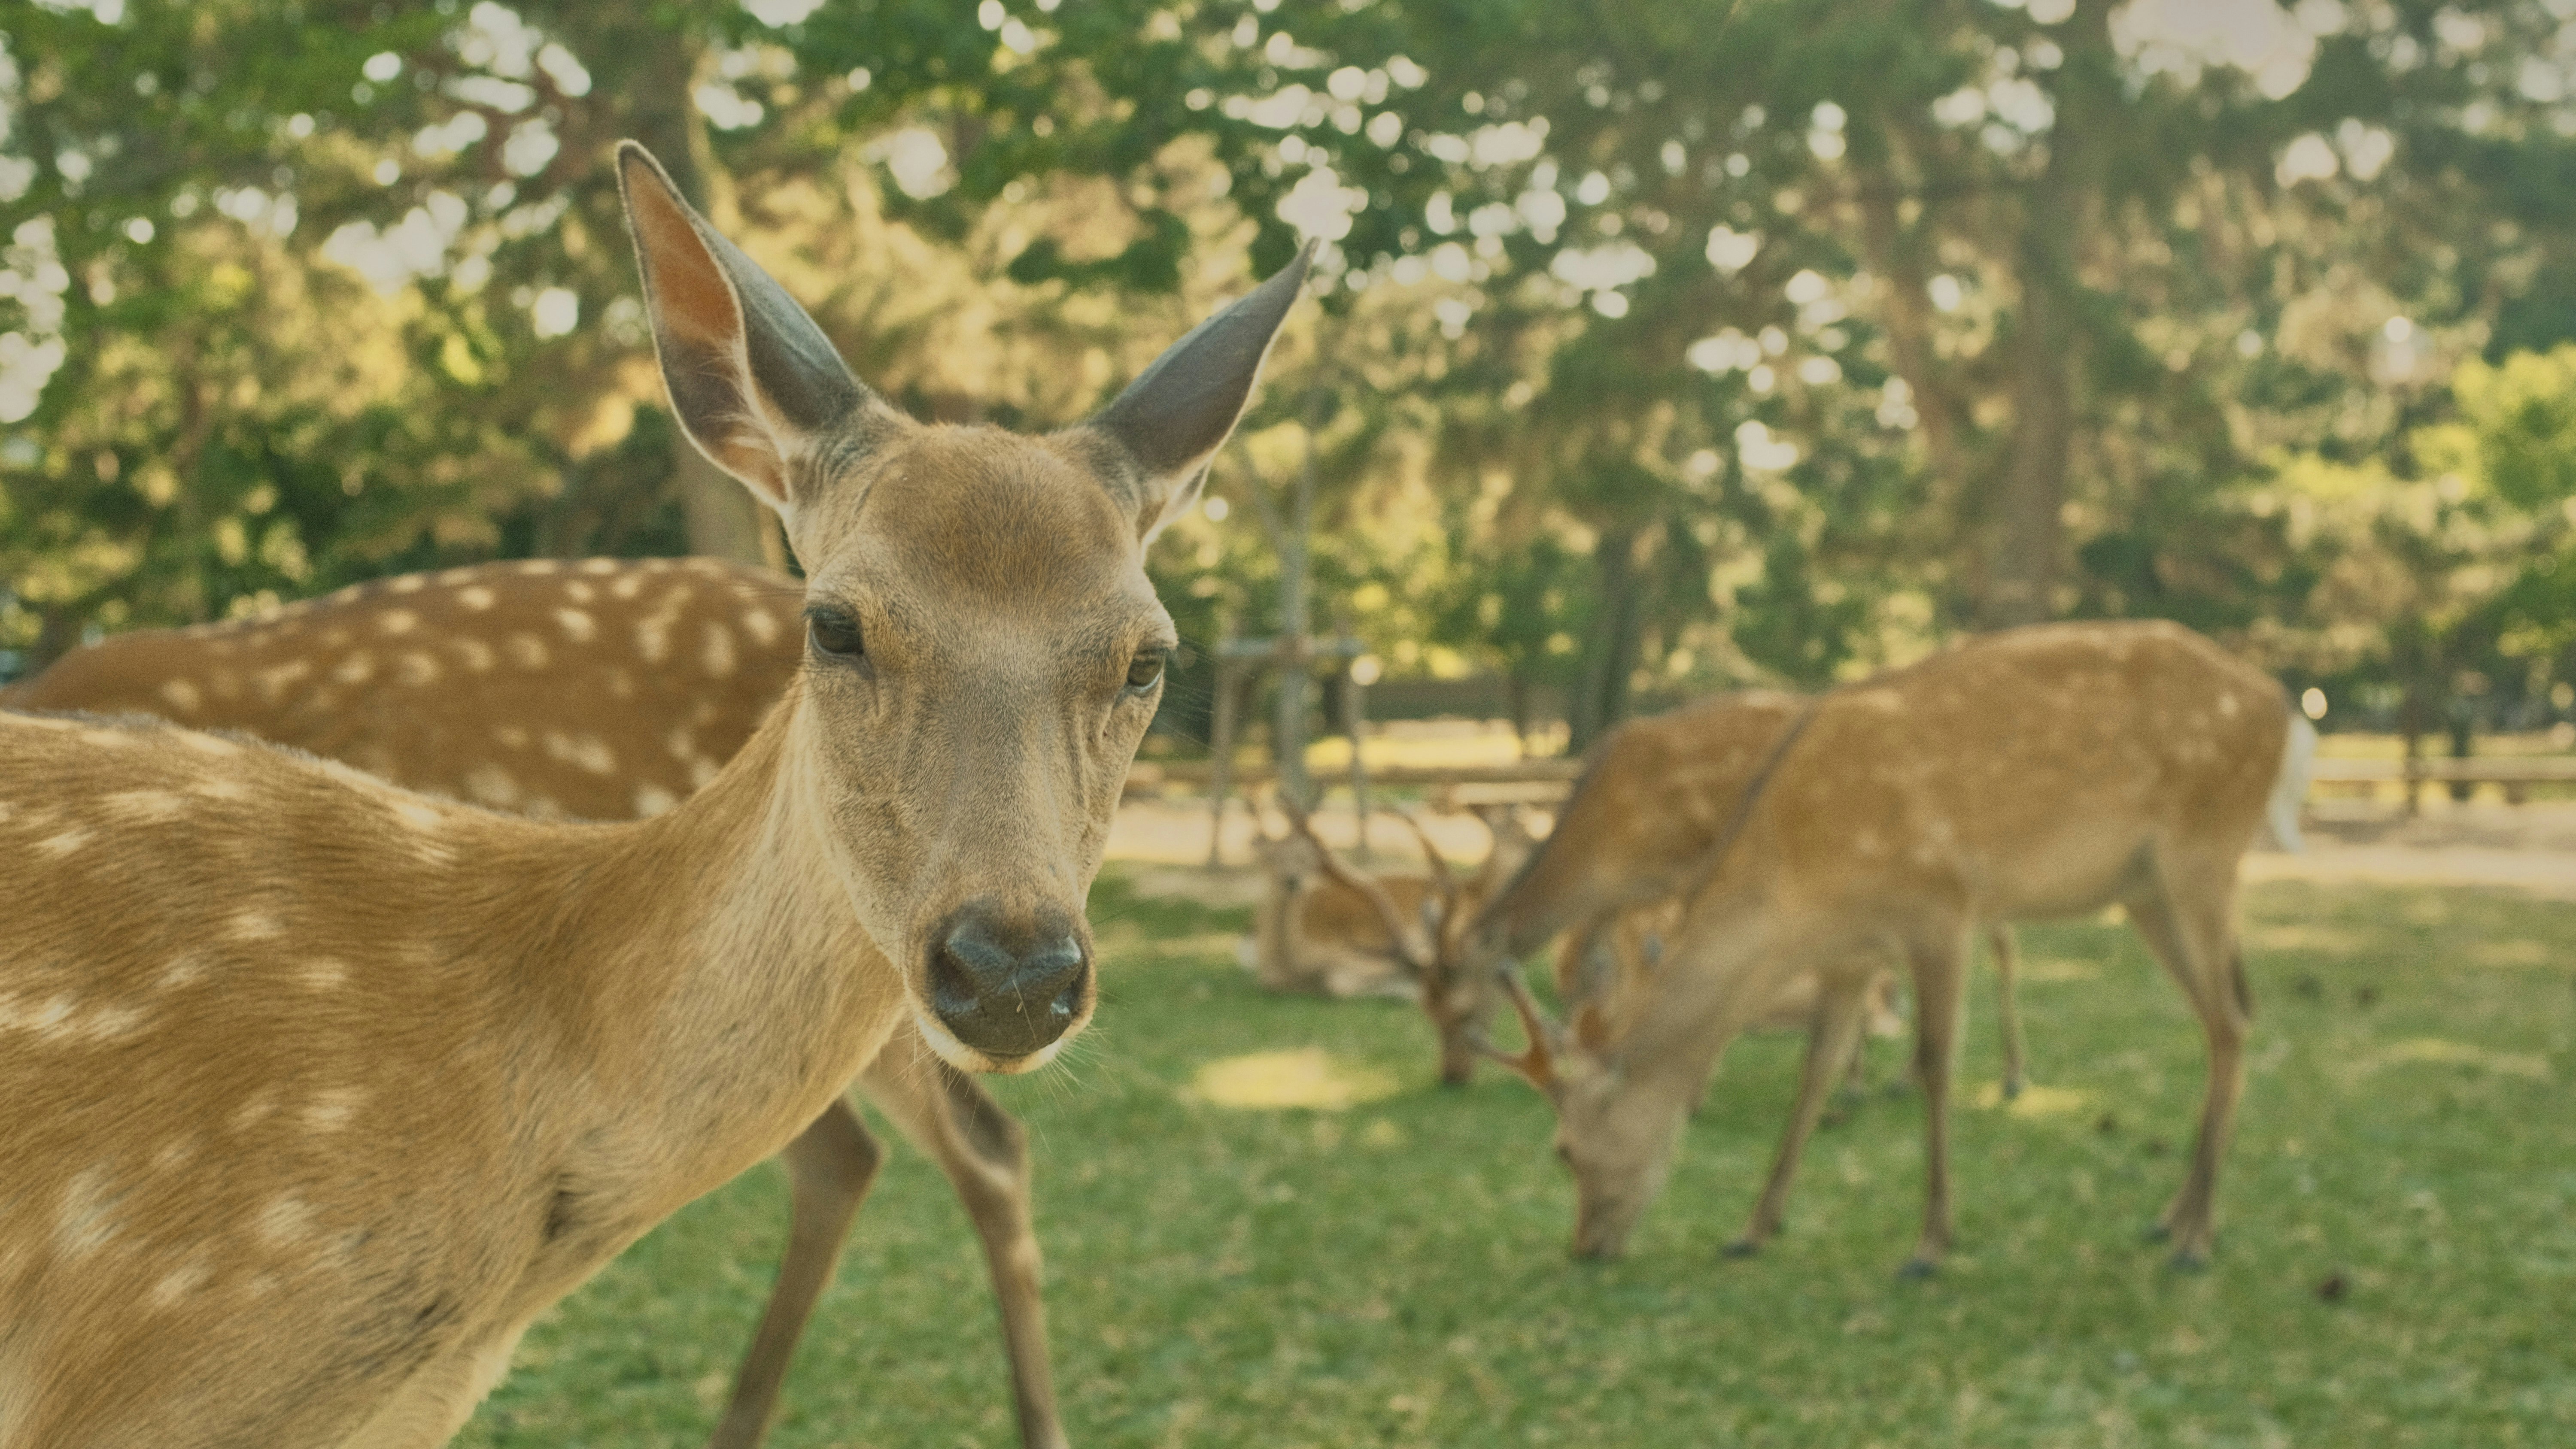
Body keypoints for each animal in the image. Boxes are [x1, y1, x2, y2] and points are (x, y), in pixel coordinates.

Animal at [1434, 622, 2309, 1274]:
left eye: (1564, 1150)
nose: (1585, 1245)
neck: (1803, 876)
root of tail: (2283, 709)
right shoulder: (1852, 949)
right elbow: (1814, 1070)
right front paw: (1754, 1226)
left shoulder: (1941, 903)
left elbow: (1934, 1065)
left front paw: (1930, 1243)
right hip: (2144, 891)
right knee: (2225, 1019)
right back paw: (2172, 1217)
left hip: (2202, 852)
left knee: (2234, 1018)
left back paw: (2196, 1238)